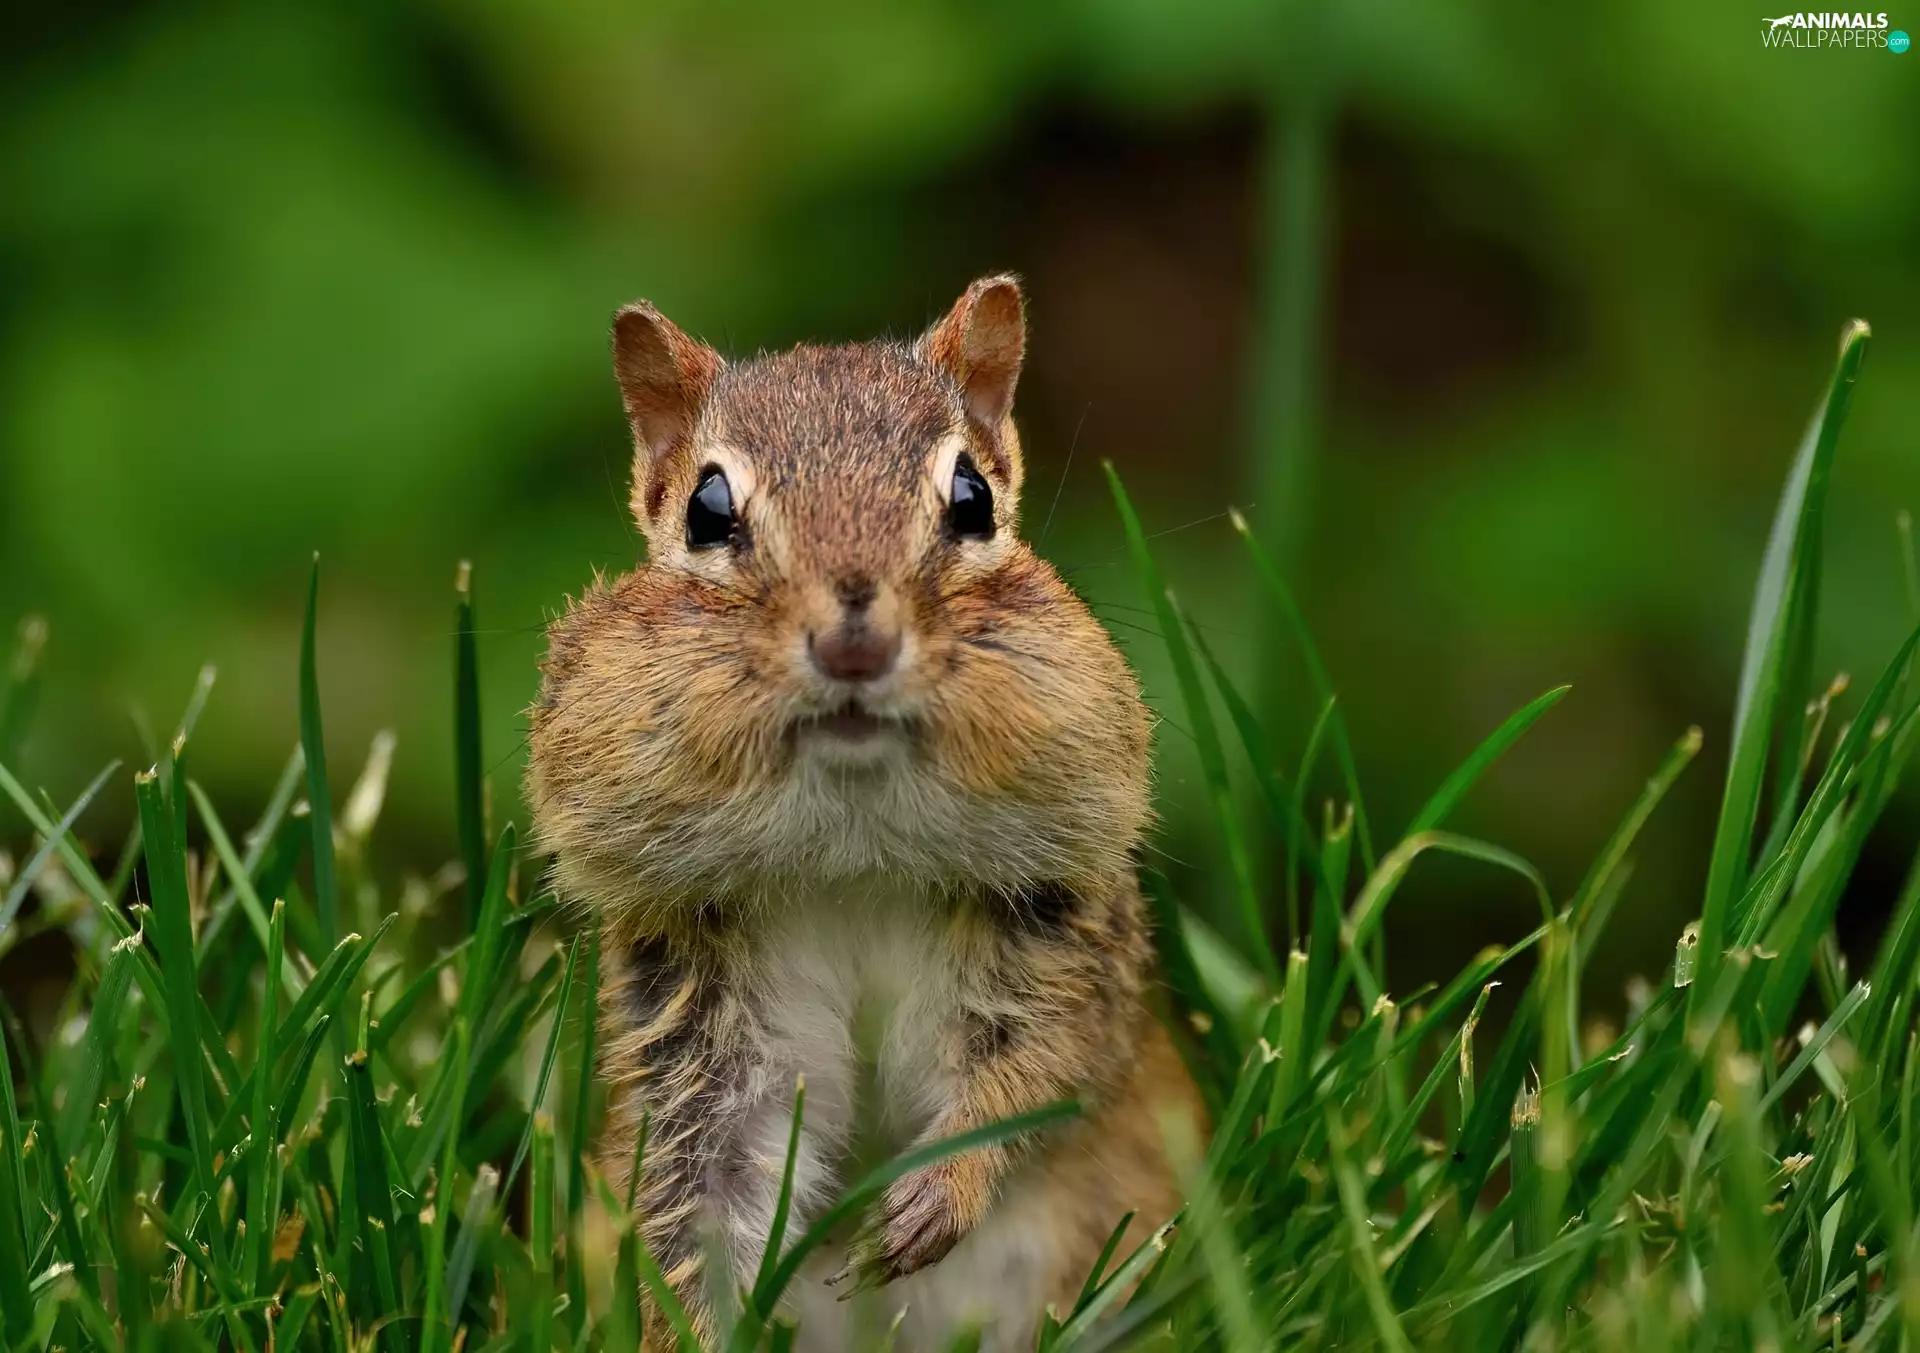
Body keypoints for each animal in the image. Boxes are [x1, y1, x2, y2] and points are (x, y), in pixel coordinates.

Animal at [526, 276, 1205, 1351]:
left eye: (972, 499)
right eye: (707, 510)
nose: (855, 645)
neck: (852, 842)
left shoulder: (1057, 931)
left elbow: (1042, 1063)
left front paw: (938, 1194)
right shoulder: (702, 1016)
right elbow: (709, 1183)